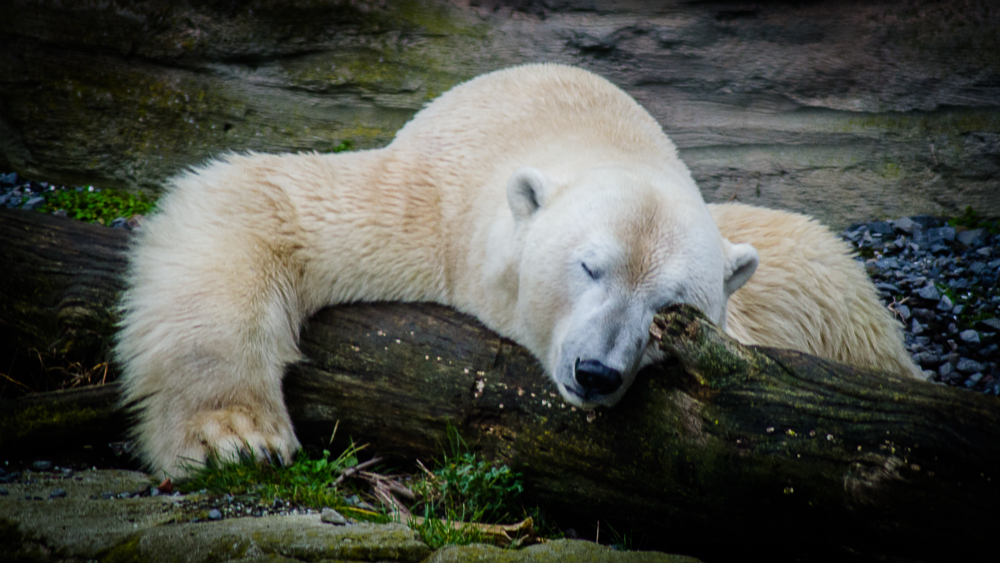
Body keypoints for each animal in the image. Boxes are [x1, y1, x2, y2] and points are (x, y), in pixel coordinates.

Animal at [113, 64, 916, 478]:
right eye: (589, 266)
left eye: (671, 311)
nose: (596, 371)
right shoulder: (430, 216)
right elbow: (261, 199)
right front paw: (232, 437)